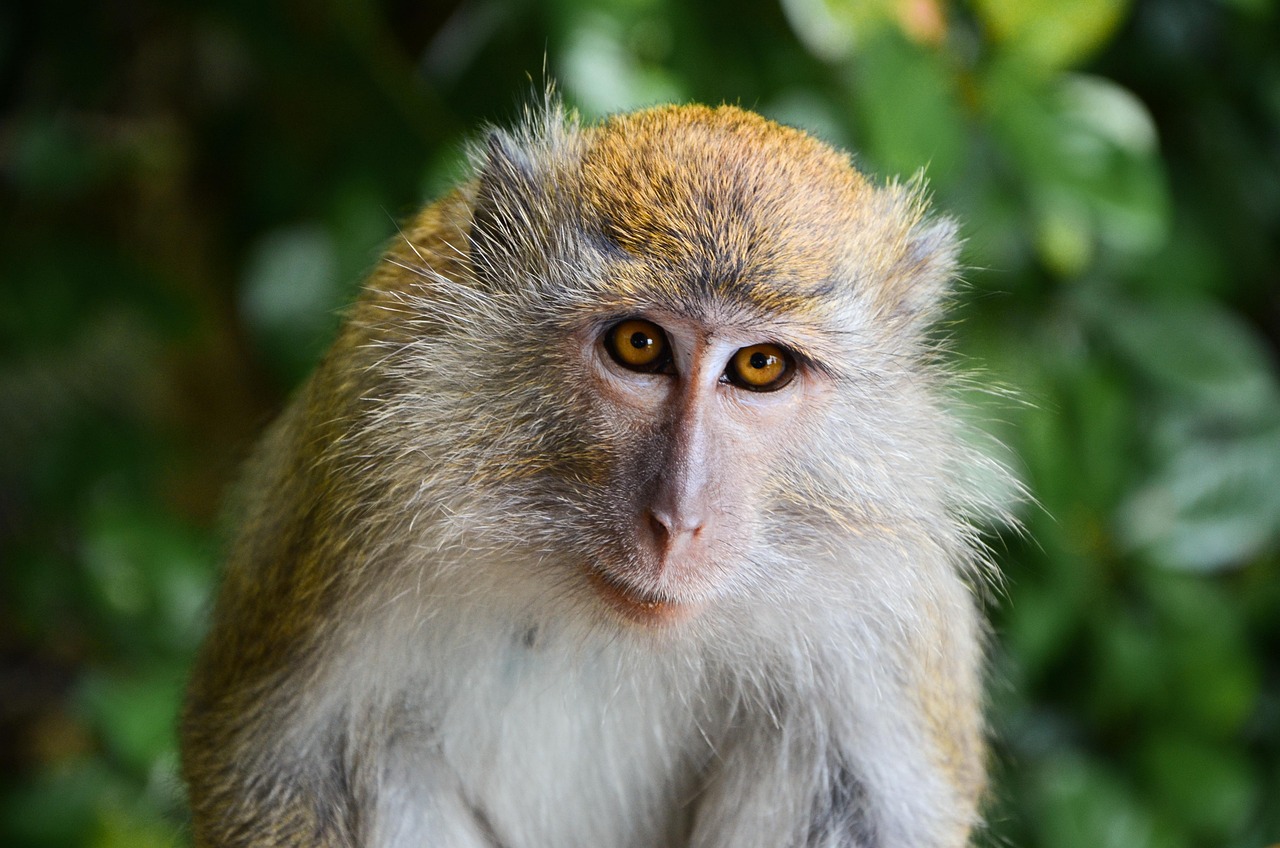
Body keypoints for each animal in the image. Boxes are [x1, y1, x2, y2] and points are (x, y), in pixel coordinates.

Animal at [181, 99, 1010, 848]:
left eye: (760, 366)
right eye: (639, 345)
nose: (678, 521)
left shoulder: (888, 602)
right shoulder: (364, 473)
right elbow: (281, 766)